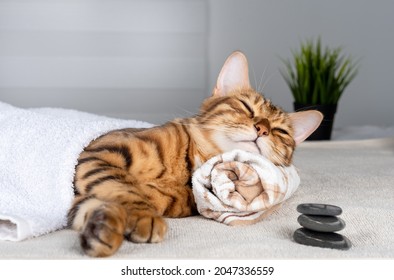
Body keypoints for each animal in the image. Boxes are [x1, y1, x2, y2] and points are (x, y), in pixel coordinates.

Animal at [67, 50, 322, 256]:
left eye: (280, 131)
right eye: (246, 108)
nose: (263, 129)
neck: (187, 167)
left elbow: (96, 202)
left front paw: (102, 230)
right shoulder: (101, 153)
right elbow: (123, 188)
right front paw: (144, 217)